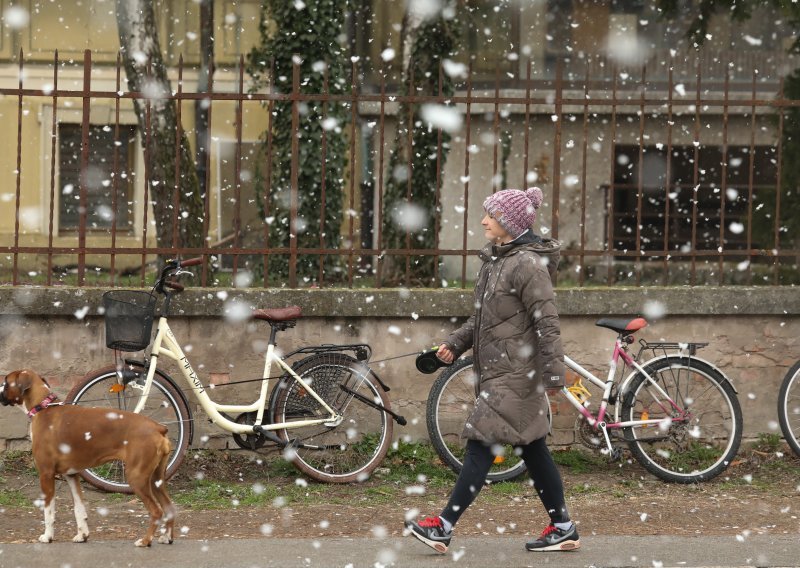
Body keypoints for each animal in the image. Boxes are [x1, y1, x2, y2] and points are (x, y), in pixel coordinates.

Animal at [0, 368, 176, 544]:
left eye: (6, 382)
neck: (42, 408)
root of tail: (158, 428)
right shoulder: (71, 475)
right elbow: (79, 508)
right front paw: (82, 534)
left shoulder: (46, 474)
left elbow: (48, 512)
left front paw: (47, 536)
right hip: (156, 480)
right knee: (169, 507)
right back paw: (166, 537)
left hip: (137, 478)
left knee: (156, 511)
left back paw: (145, 541)